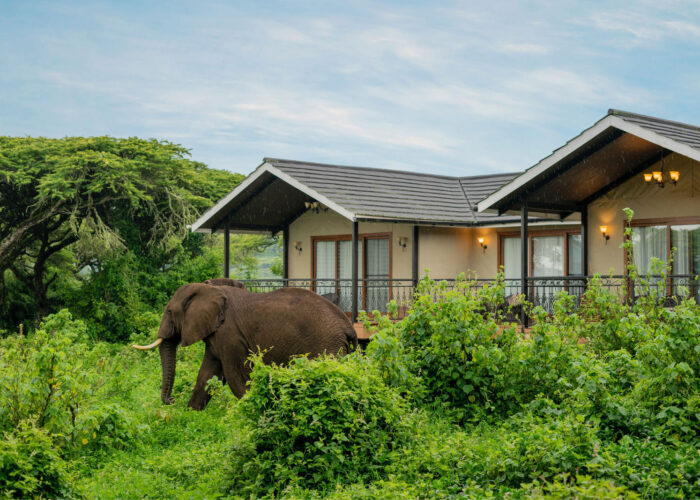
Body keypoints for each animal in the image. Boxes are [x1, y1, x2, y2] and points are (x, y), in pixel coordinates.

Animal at [134, 283, 357, 410]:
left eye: (169, 312)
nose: (171, 401)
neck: (210, 290)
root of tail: (348, 326)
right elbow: (207, 374)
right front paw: (190, 413)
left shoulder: (230, 335)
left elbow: (236, 376)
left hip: (326, 347)